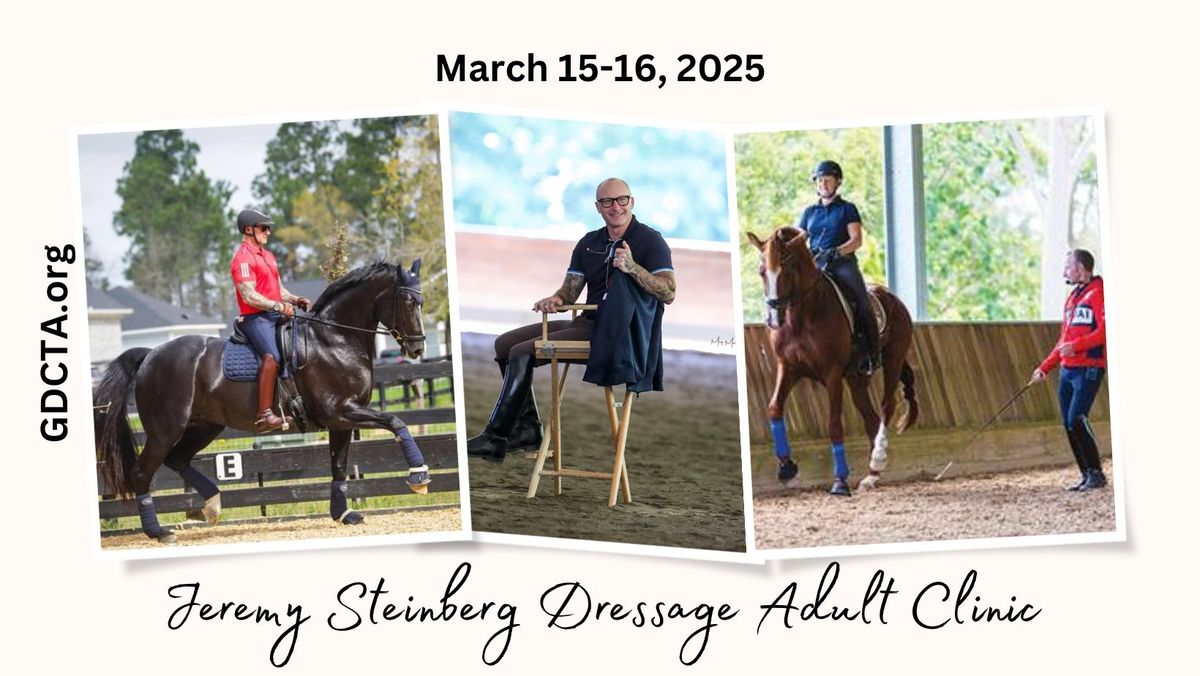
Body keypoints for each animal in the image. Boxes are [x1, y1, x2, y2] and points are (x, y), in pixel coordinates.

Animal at [96, 260, 432, 545]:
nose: (417, 349)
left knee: (178, 459)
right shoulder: (342, 411)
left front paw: (343, 513)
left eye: (422, 302)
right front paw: (419, 476)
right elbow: (397, 422)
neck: (334, 339)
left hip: (205, 426)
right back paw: (159, 531)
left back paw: (212, 506)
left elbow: (338, 464)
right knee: (142, 473)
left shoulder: (341, 420)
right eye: (408, 303)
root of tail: (150, 355)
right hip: (165, 429)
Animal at [748, 229, 916, 497]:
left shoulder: (832, 374)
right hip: (857, 379)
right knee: (871, 418)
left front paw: (839, 481)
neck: (802, 316)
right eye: (762, 271)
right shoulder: (789, 368)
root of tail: (892, 298)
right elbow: (774, 407)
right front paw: (787, 468)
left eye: (786, 269)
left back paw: (878, 457)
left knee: (887, 406)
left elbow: (834, 424)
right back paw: (871, 476)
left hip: (893, 359)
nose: (774, 318)